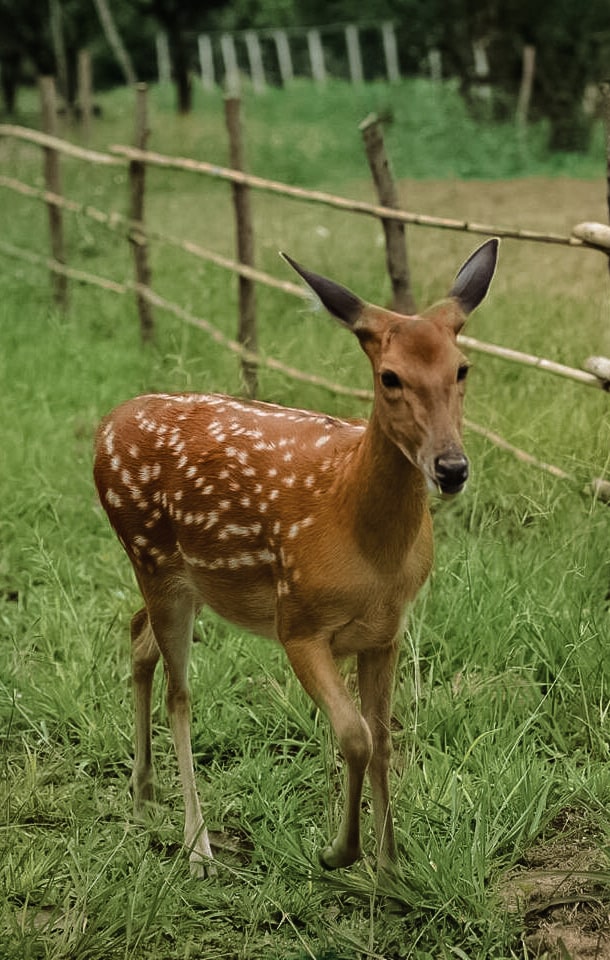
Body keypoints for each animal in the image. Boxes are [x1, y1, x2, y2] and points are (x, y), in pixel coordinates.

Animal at [92, 236, 496, 872]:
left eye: (462, 369)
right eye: (389, 377)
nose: (451, 468)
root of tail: (104, 426)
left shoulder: (387, 631)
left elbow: (384, 737)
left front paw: (391, 866)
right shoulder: (298, 621)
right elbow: (355, 735)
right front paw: (338, 853)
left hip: (183, 579)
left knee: (136, 637)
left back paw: (142, 796)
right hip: (150, 555)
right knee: (180, 695)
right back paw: (198, 846)